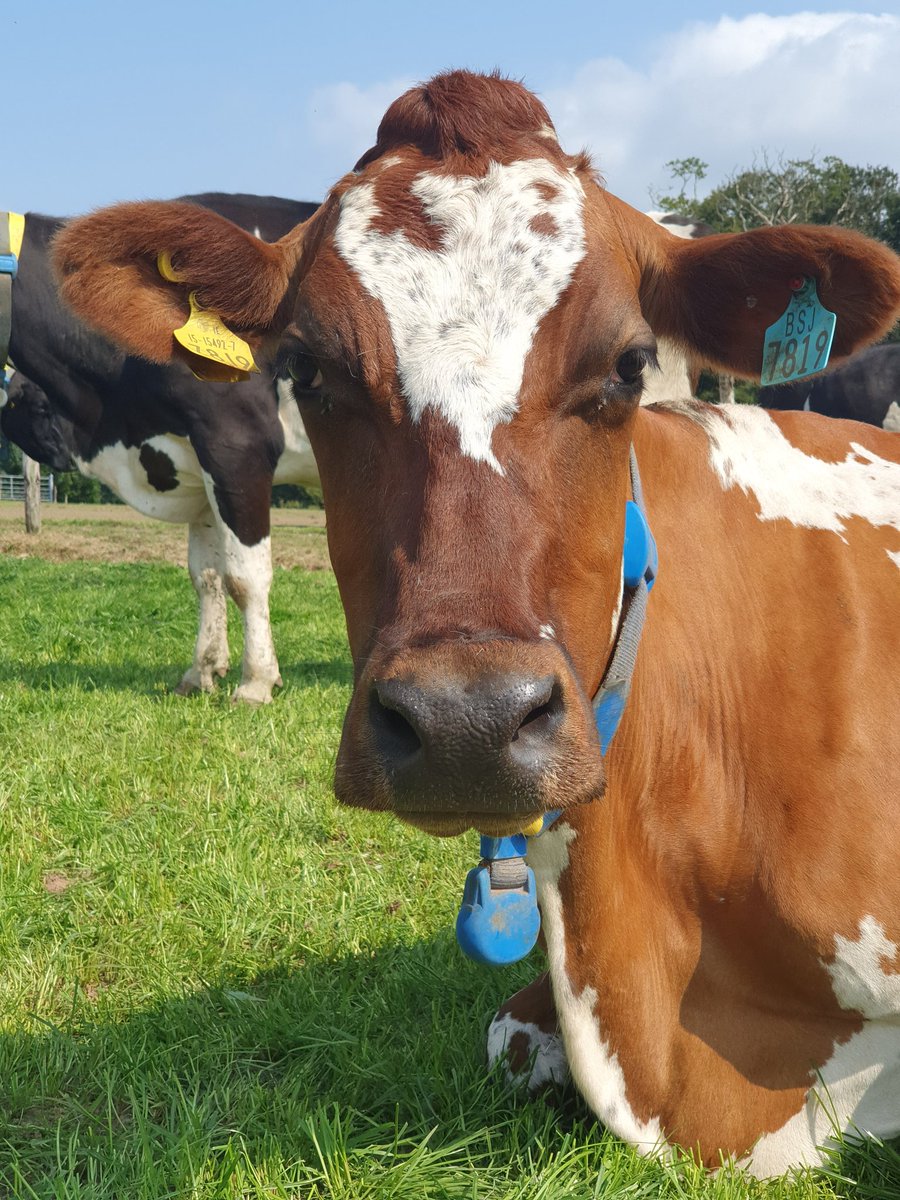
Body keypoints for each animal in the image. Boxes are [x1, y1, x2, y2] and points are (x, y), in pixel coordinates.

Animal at [8, 193, 319, 703]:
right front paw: (202, 672)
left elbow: (246, 576)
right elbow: (207, 577)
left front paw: (256, 681)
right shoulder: (195, 459)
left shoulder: (237, 445)